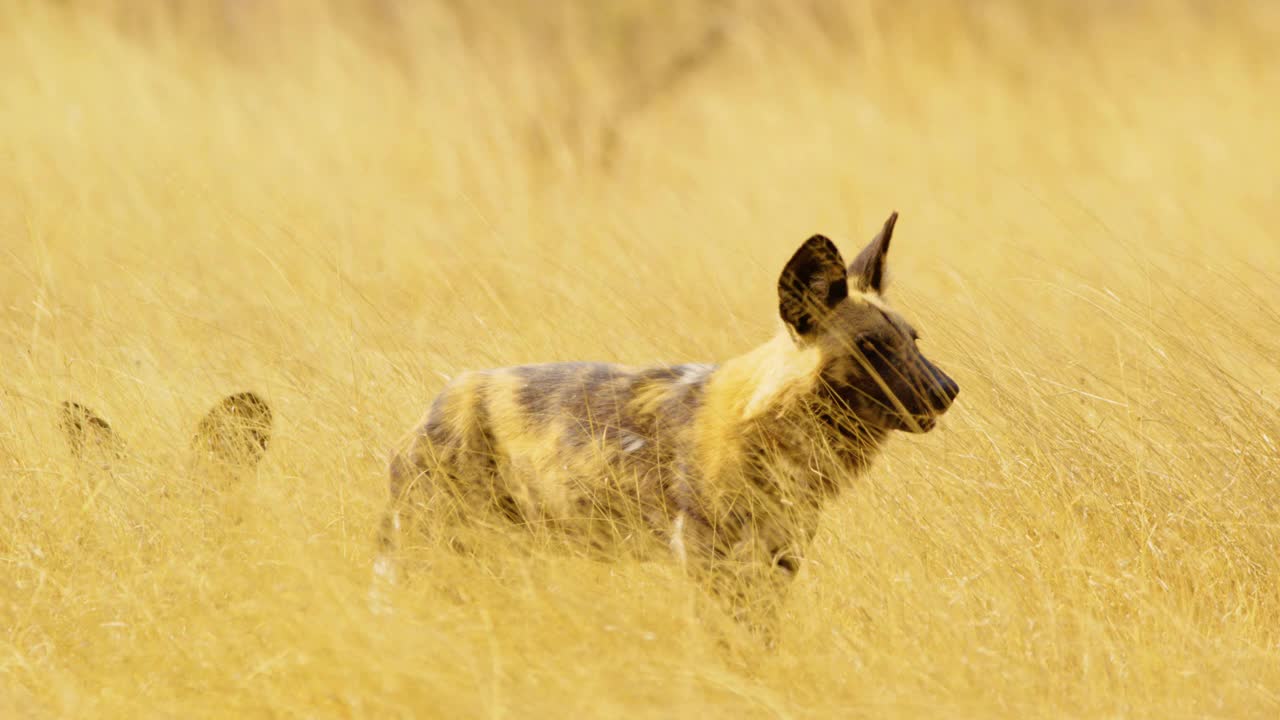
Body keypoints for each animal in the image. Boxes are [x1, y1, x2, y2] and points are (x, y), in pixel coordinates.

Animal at [378, 212, 962, 632]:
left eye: (913, 340)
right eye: (871, 347)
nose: (947, 390)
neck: (775, 430)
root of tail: (434, 406)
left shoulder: (778, 559)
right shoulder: (711, 560)